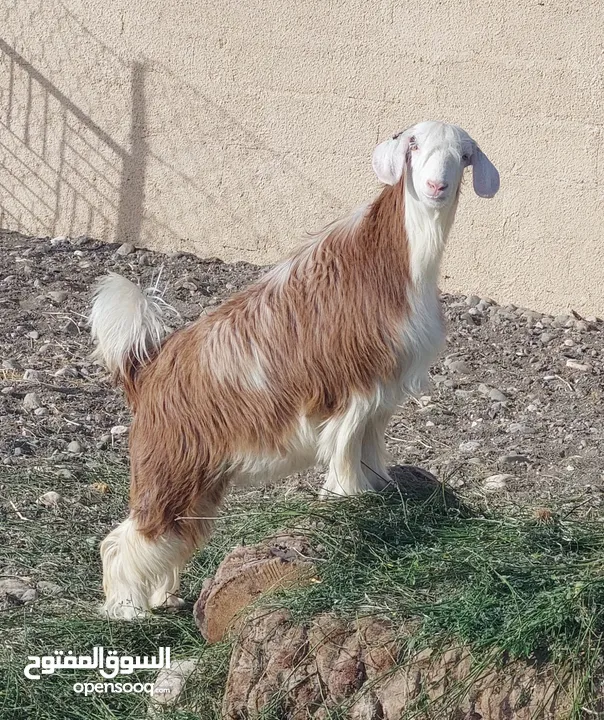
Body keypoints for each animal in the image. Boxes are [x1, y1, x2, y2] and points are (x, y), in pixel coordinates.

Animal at [88, 119, 496, 620]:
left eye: (464, 155)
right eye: (414, 146)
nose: (437, 186)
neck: (389, 260)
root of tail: (146, 370)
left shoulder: (381, 397)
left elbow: (368, 450)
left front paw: (378, 491)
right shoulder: (352, 388)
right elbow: (344, 451)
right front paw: (349, 498)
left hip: (200, 480)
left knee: (174, 538)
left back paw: (165, 596)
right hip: (168, 465)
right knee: (127, 538)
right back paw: (128, 610)